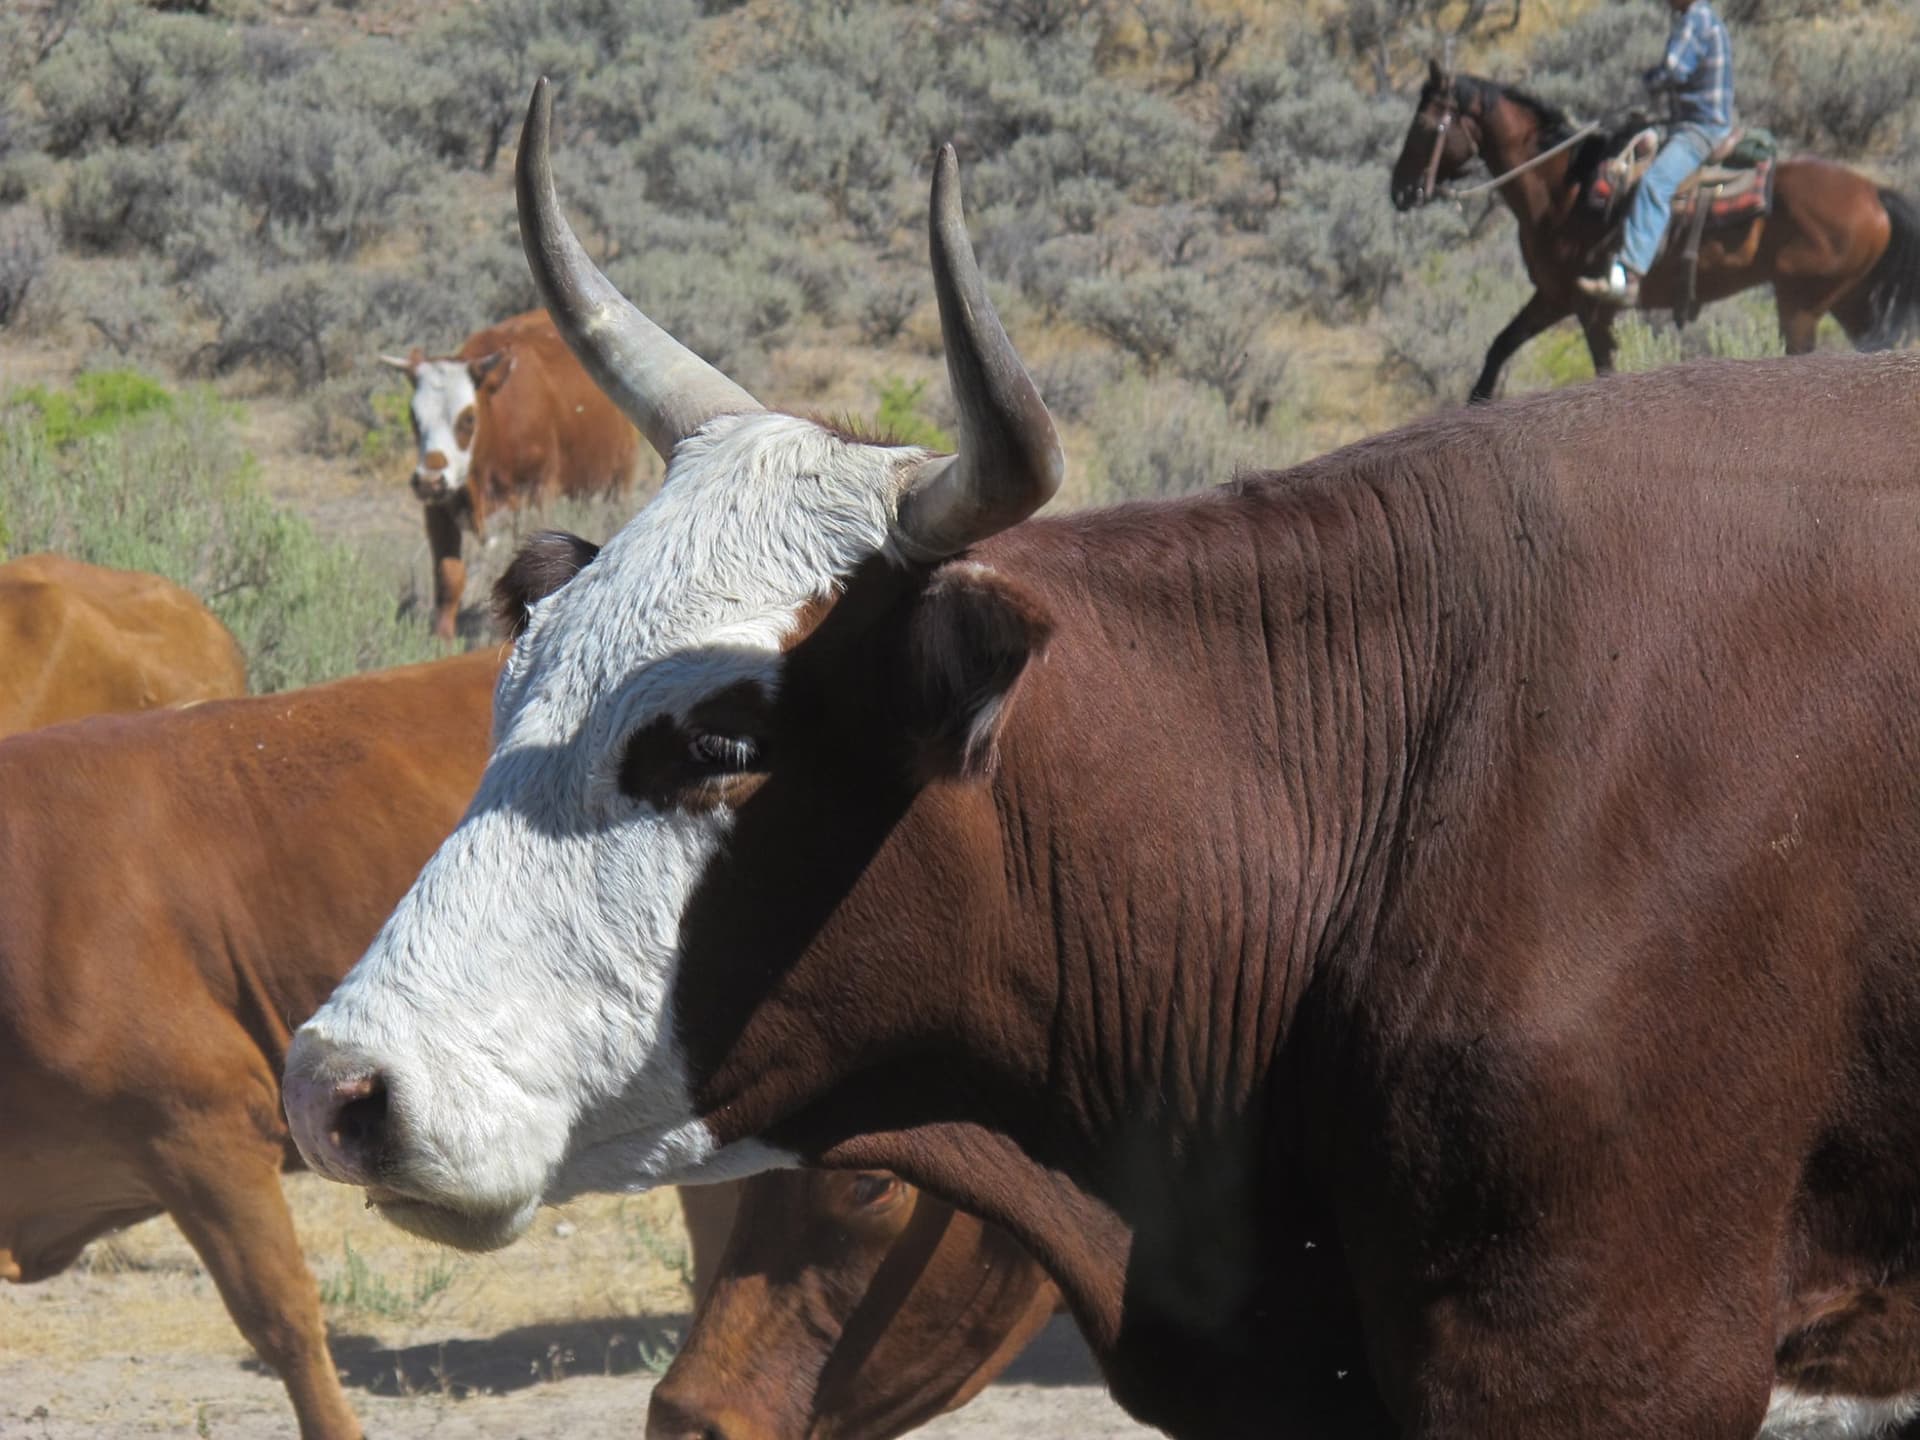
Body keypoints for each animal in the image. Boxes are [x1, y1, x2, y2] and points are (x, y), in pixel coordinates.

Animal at [381, 309, 641, 639]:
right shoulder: (439, 507)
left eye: (468, 418)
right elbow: (448, 575)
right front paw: (442, 637)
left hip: (618, 482)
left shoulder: (537, 493)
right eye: (414, 416)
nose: (428, 480)